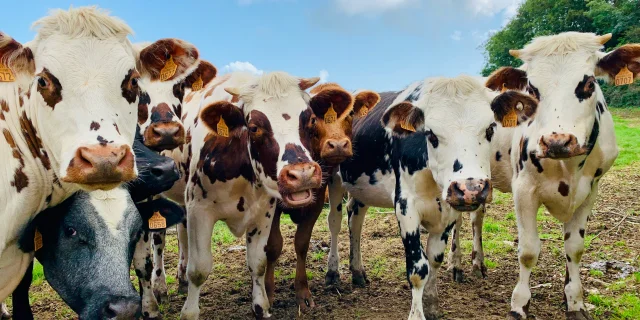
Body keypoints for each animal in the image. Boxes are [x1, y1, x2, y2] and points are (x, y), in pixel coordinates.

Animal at [162, 71, 322, 318]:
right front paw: (189, 312)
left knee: (181, 232)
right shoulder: (199, 209)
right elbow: (199, 270)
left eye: (311, 120)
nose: (302, 174)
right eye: (254, 127)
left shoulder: (264, 212)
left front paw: (261, 307)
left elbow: (258, 262)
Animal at [264, 82, 380, 312]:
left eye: (350, 113)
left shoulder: (317, 201)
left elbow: (302, 243)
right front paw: (268, 294)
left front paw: (303, 294)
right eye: (313, 117)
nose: (338, 145)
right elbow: (273, 245)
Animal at [324, 74, 536, 318]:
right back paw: (332, 273)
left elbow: (434, 259)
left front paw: (431, 303)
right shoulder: (406, 207)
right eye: (431, 134)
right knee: (335, 223)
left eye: (490, 129)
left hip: (361, 189)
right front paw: (417, 314)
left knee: (355, 220)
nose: (470, 188)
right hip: (333, 179)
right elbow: (418, 268)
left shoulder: (448, 210)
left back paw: (358, 271)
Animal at [482, 31, 636, 318]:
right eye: (532, 89)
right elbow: (528, 251)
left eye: (589, 83)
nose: (557, 141)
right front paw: (519, 304)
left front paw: (574, 300)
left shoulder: (590, 191)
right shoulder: (523, 190)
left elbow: (574, 248)